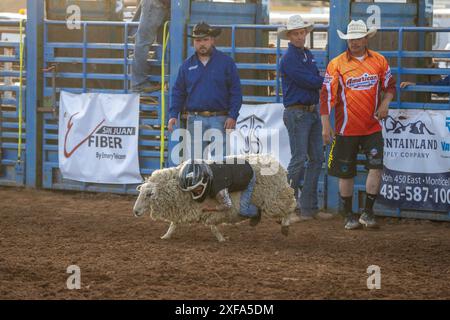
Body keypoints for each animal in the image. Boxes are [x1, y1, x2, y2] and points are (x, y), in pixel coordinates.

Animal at [132, 154, 298, 241]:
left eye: (148, 195)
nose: (135, 211)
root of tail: (277, 164)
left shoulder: (216, 208)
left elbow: (212, 225)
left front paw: (221, 239)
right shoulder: (183, 209)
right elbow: (174, 224)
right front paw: (166, 236)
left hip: (274, 199)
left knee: (290, 207)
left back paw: (286, 225)